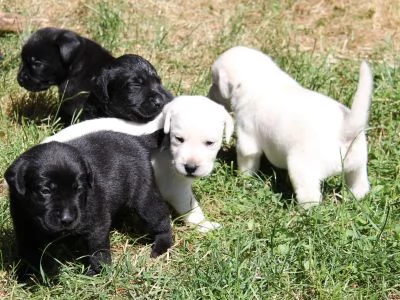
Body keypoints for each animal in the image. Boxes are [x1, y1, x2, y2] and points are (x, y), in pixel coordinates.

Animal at [3, 132, 172, 282]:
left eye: (78, 188)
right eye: (45, 191)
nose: (67, 219)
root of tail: (137, 139)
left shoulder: (97, 221)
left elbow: (97, 248)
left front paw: (98, 271)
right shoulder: (23, 222)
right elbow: (28, 249)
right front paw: (27, 273)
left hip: (144, 197)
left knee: (161, 218)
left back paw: (161, 245)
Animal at [43, 96, 234, 232]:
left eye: (210, 143)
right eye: (179, 139)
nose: (190, 167)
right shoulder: (175, 187)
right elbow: (191, 208)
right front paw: (204, 225)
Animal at [208, 46, 374, 209]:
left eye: (215, 83)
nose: (208, 95)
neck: (261, 82)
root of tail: (346, 130)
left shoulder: (247, 137)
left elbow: (247, 160)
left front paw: (243, 178)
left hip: (301, 168)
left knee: (310, 196)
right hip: (358, 165)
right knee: (360, 184)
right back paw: (355, 197)